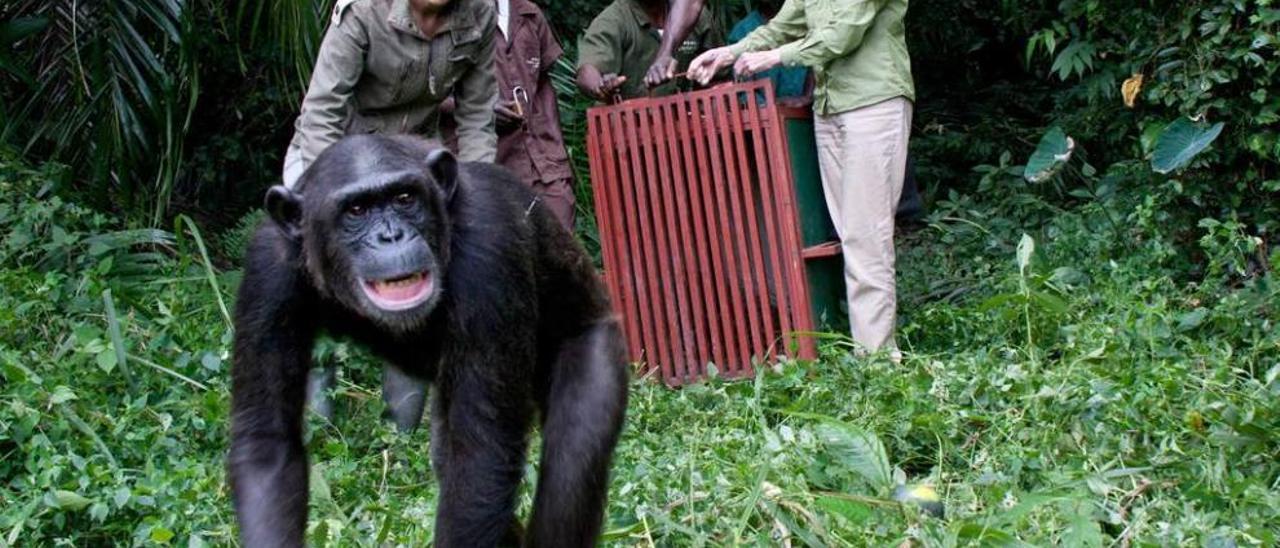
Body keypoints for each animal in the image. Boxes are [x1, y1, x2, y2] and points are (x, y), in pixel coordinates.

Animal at [232, 133, 632, 548]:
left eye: (405, 198)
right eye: (356, 210)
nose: (390, 235)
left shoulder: (490, 248)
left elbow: (480, 456)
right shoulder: (267, 270)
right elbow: (268, 441)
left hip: (596, 340)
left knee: (572, 463)